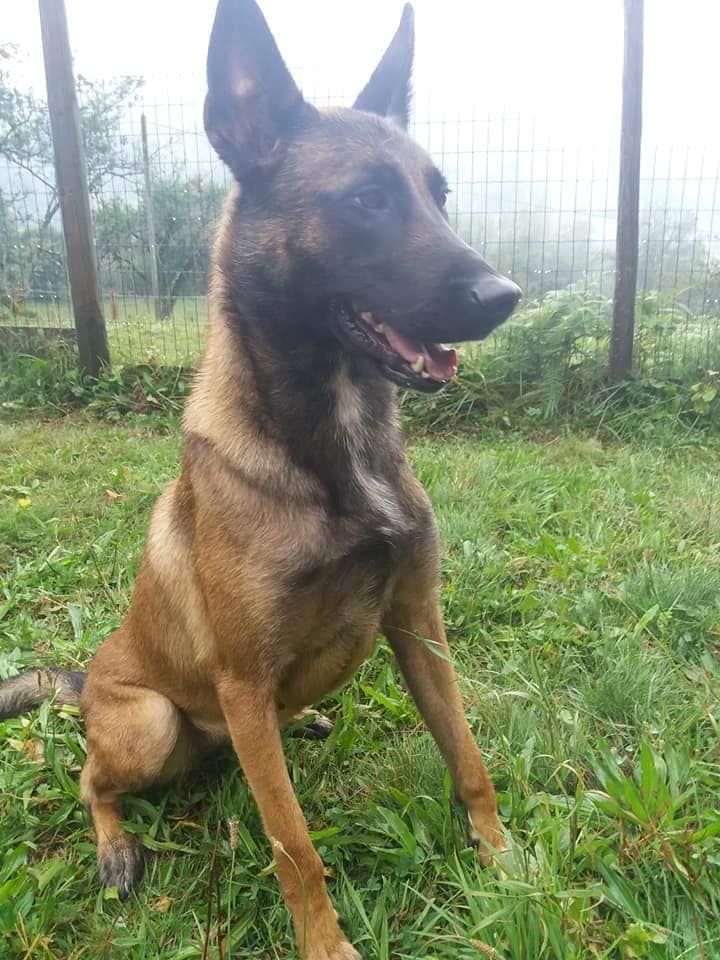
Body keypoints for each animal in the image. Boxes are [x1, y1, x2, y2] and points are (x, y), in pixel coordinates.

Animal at [0, 2, 520, 957]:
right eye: (367, 200)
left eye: (439, 196)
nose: (505, 296)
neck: (333, 442)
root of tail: (89, 679)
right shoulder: (242, 683)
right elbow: (293, 843)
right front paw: (327, 945)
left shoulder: (418, 622)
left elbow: (468, 757)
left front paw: (505, 863)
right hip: (151, 723)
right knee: (93, 779)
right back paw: (116, 847)